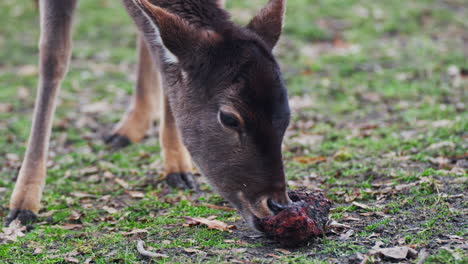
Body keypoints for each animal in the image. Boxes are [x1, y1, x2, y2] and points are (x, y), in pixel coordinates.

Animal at [5, 0, 292, 231]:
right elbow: (52, 58)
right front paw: (23, 205)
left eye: (286, 117)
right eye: (229, 118)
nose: (277, 204)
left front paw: (178, 168)